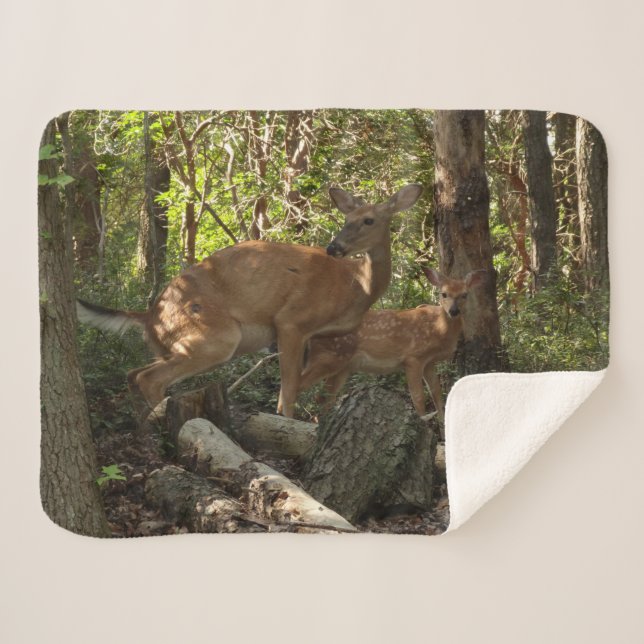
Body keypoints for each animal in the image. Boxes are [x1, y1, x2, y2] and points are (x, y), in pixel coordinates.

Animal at [76, 184, 423, 420]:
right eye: (346, 217)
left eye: (369, 220)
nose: (334, 247)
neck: (356, 286)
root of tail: (149, 315)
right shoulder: (291, 320)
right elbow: (289, 389)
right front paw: (289, 424)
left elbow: (299, 386)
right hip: (217, 336)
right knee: (148, 378)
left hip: (169, 345)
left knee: (134, 372)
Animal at [298, 267, 487, 437]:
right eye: (444, 294)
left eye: (464, 294)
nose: (453, 311)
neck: (438, 329)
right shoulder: (413, 357)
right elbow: (418, 396)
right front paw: (424, 425)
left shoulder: (429, 362)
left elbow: (438, 395)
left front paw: (443, 434)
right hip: (328, 357)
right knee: (300, 385)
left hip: (342, 366)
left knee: (324, 398)